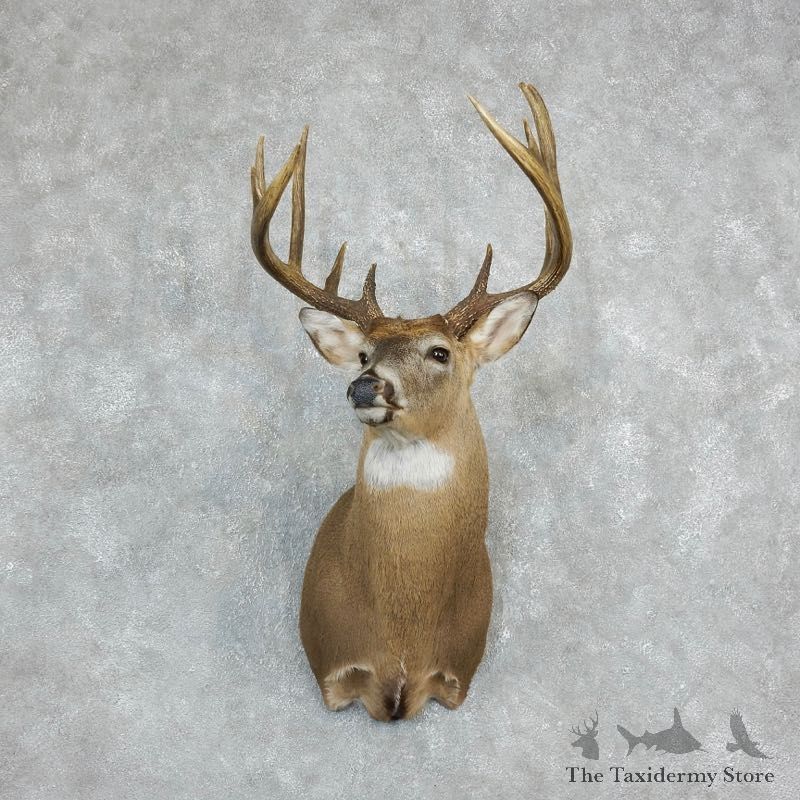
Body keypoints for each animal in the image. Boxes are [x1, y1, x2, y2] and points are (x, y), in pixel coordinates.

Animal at [249, 82, 572, 721]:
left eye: (440, 352)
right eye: (363, 355)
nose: (364, 386)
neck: (401, 633)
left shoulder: (455, 677)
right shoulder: (335, 672)